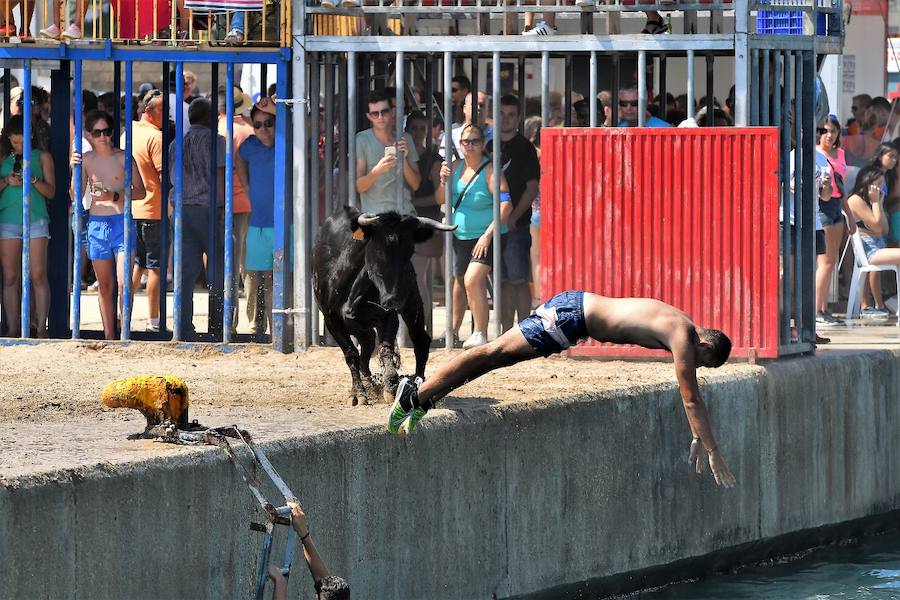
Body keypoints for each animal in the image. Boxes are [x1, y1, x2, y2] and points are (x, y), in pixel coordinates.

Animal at [314, 207, 458, 408]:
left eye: (409, 251)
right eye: (379, 250)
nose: (393, 298)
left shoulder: (388, 316)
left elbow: (385, 349)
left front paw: (390, 387)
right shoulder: (331, 320)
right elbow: (351, 354)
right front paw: (359, 393)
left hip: (412, 304)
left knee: (420, 340)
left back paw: (419, 383)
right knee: (366, 350)